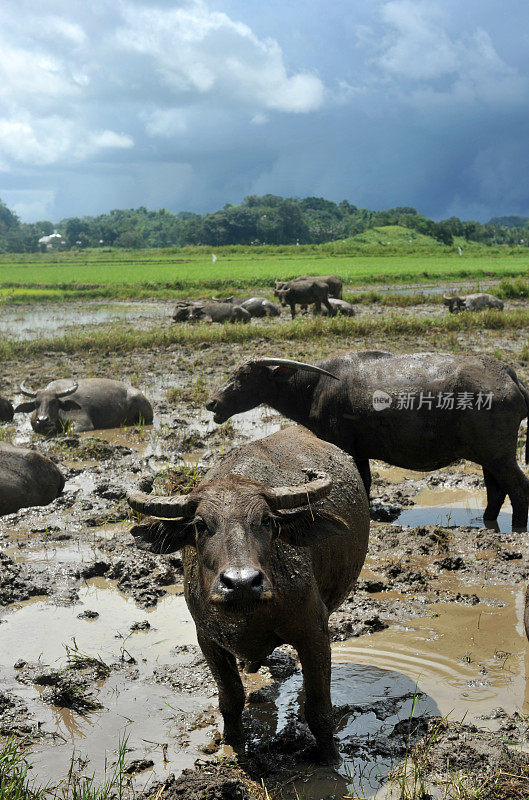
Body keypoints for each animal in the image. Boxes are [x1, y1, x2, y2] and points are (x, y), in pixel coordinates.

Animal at [126, 424, 370, 764]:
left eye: (266, 520)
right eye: (200, 524)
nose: (241, 582)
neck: (250, 614)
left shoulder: (315, 633)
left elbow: (319, 708)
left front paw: (331, 759)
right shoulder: (208, 639)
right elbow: (231, 699)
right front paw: (232, 742)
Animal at [206, 352, 528, 532]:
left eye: (244, 377)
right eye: (232, 373)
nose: (212, 403)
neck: (315, 387)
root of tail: (510, 377)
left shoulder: (343, 446)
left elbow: (361, 481)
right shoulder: (359, 453)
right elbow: (366, 481)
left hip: (500, 456)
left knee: (518, 488)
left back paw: (517, 527)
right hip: (489, 457)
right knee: (496, 491)